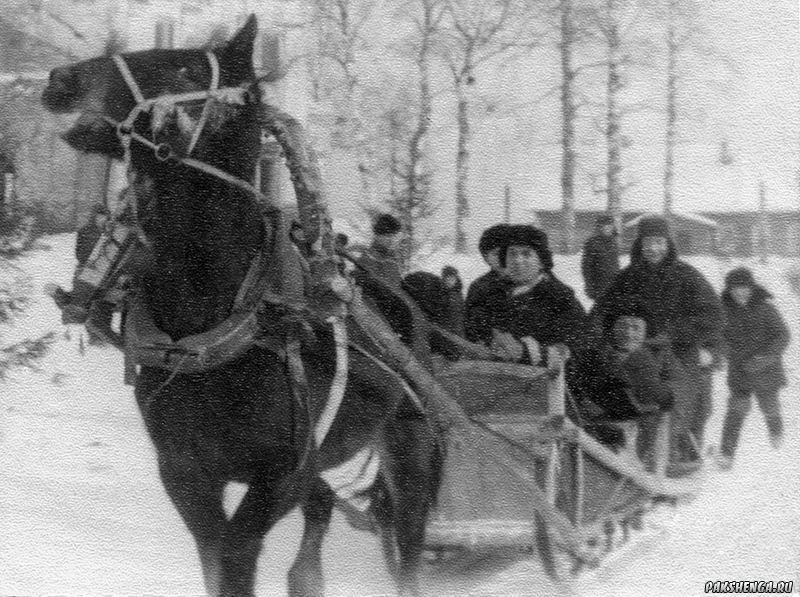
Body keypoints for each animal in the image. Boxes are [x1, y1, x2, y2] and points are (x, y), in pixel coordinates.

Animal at [42, 15, 444, 596]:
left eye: (186, 68)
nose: (61, 78)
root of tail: (403, 297)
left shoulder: (281, 474)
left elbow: (236, 555)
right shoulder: (186, 472)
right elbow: (218, 559)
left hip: (409, 452)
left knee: (405, 541)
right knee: (323, 506)